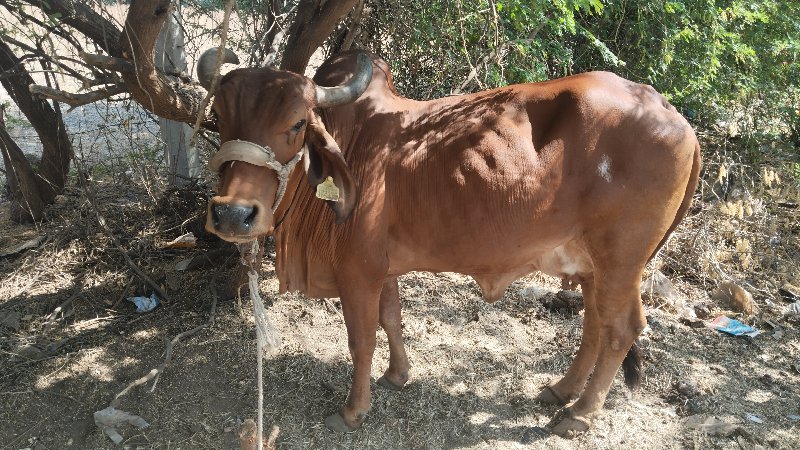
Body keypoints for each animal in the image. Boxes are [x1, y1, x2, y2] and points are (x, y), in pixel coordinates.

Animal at [200, 50, 700, 436]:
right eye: (219, 117)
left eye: (298, 123)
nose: (232, 213)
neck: (351, 142)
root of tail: (673, 115)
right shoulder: (380, 267)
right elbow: (391, 320)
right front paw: (397, 376)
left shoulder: (357, 271)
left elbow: (361, 340)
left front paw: (353, 411)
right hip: (594, 264)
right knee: (595, 323)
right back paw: (561, 390)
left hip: (621, 260)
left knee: (620, 329)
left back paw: (578, 415)